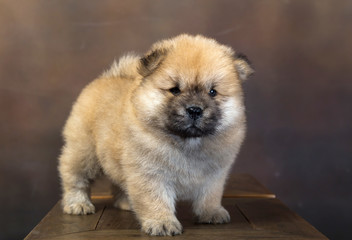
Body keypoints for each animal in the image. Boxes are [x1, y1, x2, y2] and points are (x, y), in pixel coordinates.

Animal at [59, 34, 254, 236]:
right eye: (175, 90)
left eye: (213, 92)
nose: (194, 109)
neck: (187, 143)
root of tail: (109, 76)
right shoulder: (150, 173)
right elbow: (156, 200)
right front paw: (162, 223)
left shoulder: (214, 175)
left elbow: (210, 196)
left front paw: (212, 213)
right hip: (84, 152)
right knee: (74, 177)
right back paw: (78, 203)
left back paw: (125, 203)